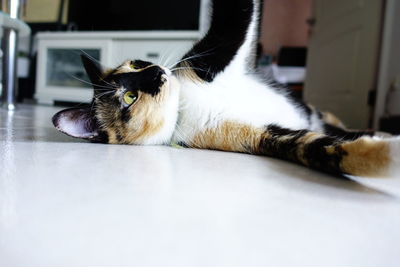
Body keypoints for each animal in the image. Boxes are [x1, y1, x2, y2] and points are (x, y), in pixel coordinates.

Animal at [51, 0, 398, 178]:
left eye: (136, 65)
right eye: (129, 97)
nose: (156, 71)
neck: (186, 106)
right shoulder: (262, 134)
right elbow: (319, 147)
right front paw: (392, 154)